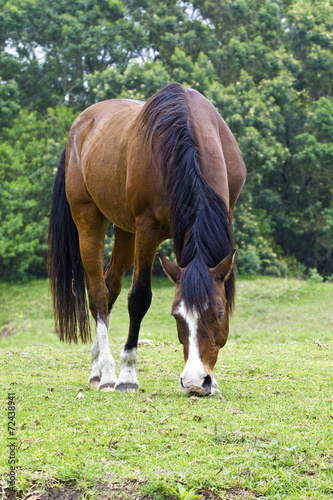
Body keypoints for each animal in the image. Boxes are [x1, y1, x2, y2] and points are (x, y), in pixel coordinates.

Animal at [48, 81, 245, 394]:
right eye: (176, 316)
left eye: (219, 313)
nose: (195, 382)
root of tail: (80, 125)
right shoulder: (147, 229)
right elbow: (139, 297)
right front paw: (128, 374)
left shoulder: (226, 213)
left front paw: (213, 381)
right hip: (89, 220)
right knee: (98, 293)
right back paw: (107, 372)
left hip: (125, 231)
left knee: (110, 285)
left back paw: (96, 367)